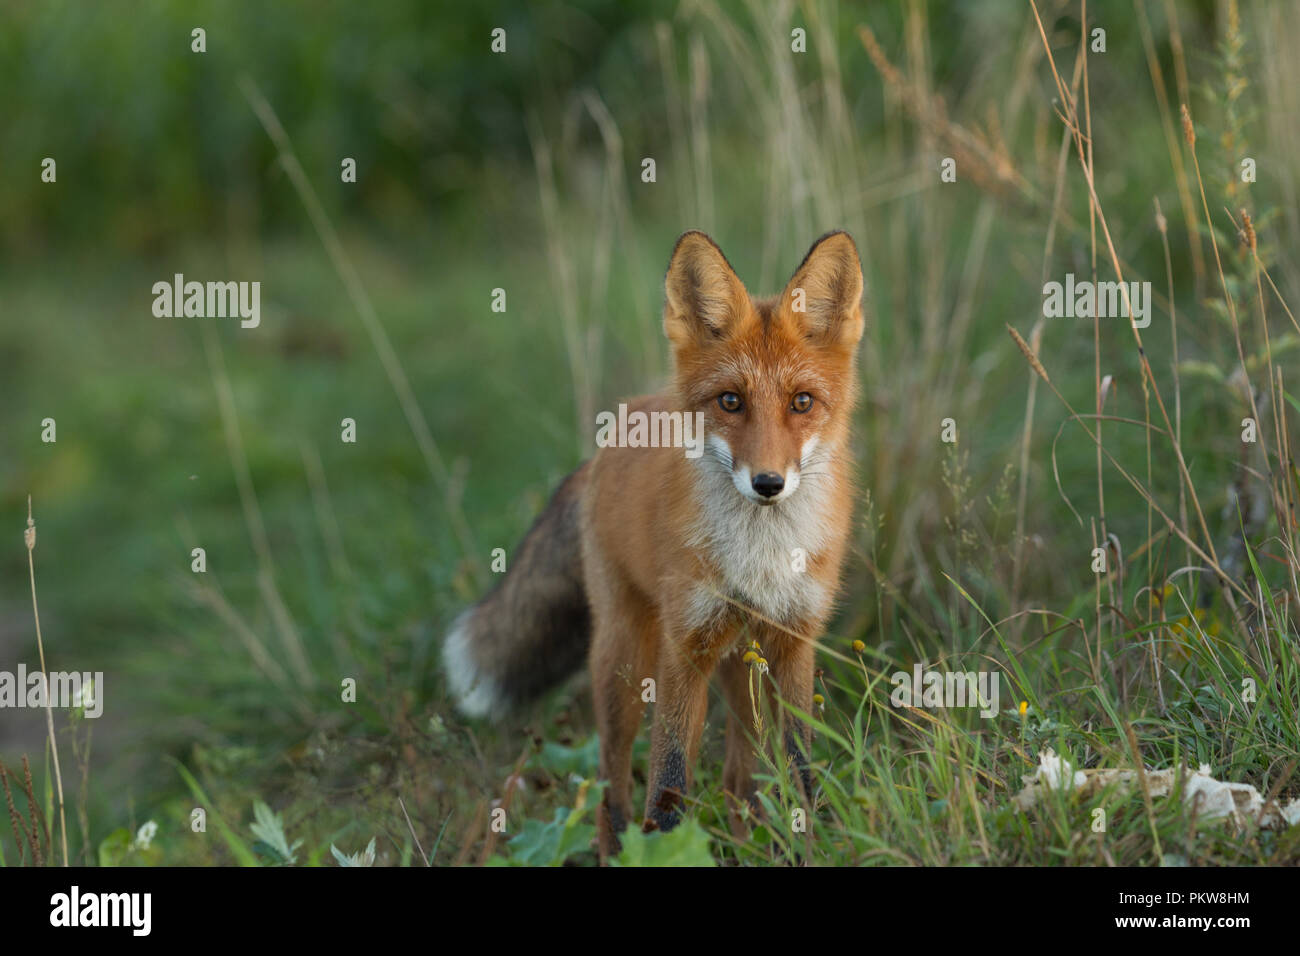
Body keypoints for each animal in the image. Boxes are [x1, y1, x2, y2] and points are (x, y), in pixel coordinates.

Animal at [447, 230, 863, 853]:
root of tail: (610, 439)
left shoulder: (793, 641)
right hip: (623, 656)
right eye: (731, 401)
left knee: (738, 779)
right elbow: (667, 782)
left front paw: (807, 845)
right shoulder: (684, 644)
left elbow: (799, 768)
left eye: (802, 402)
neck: (759, 557)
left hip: (741, 662)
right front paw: (665, 848)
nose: (768, 483)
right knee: (608, 787)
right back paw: (614, 846)